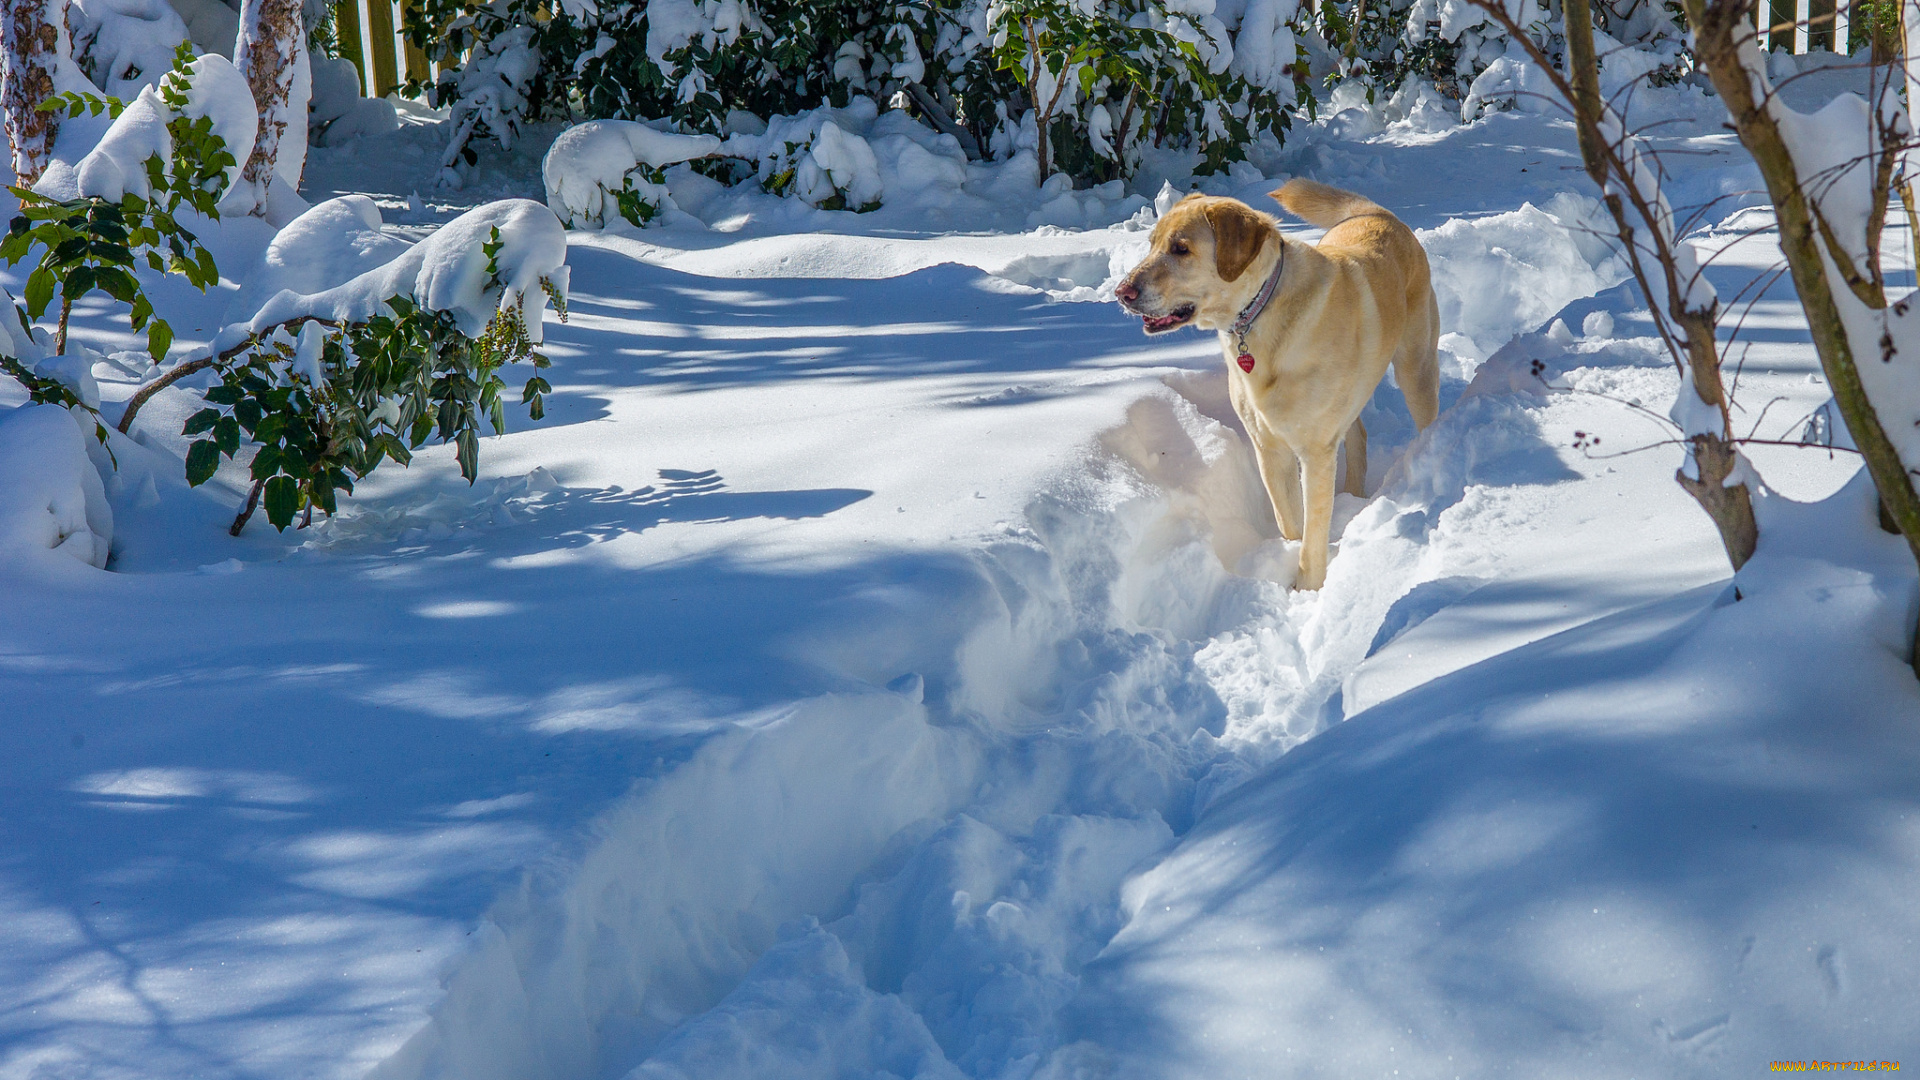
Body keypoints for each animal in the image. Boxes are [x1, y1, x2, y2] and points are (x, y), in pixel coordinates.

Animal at [1113, 178, 1443, 588]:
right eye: (1152, 243)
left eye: (1181, 249)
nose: (1122, 292)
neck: (1259, 313)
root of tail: (1377, 214)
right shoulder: (1268, 448)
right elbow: (1289, 522)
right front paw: (1287, 561)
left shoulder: (1315, 453)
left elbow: (1313, 536)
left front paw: (1308, 587)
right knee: (1358, 434)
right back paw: (1353, 496)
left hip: (1416, 369)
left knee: (1426, 417)